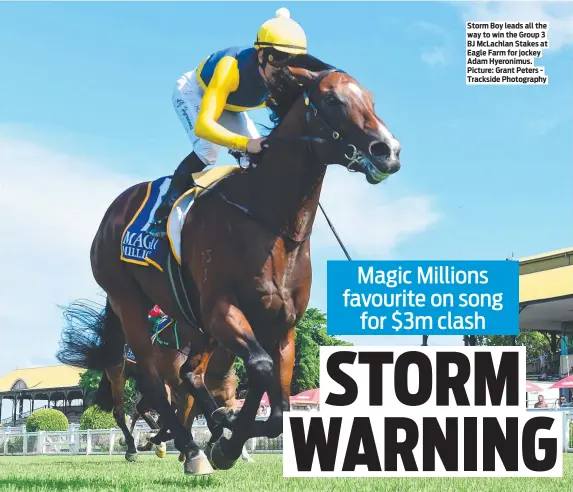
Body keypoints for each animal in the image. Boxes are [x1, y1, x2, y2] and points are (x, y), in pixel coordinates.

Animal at [57, 55, 398, 474]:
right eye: (332, 99)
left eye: (370, 98)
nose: (388, 150)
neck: (269, 221)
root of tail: (113, 211)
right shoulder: (222, 309)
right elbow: (261, 369)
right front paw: (225, 442)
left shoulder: (282, 325)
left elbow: (278, 406)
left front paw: (228, 430)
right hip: (128, 302)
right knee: (152, 387)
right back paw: (186, 450)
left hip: (194, 325)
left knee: (188, 376)